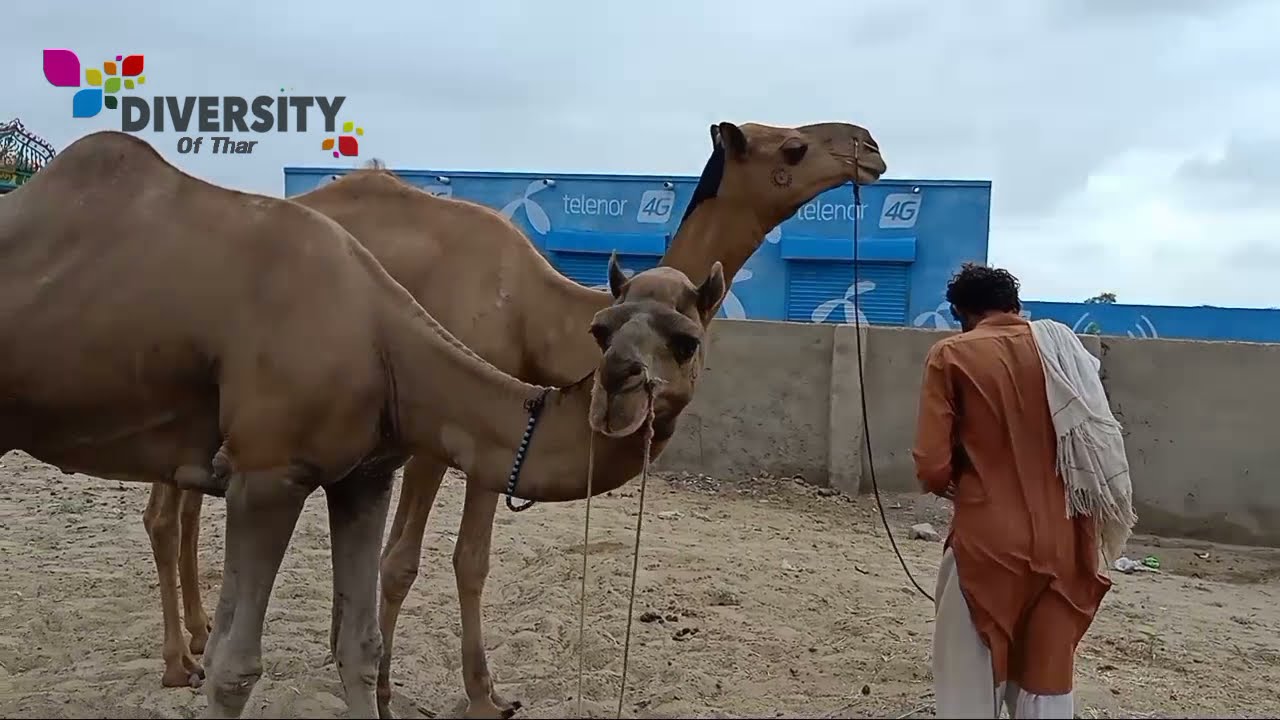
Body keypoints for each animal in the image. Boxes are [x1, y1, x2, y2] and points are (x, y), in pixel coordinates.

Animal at [0, 129, 726, 719]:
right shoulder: (266, 474)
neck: (383, 338)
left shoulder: (364, 473)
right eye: (600, 330)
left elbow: (360, 646)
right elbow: (236, 669)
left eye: (686, 340)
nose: (620, 384)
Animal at [146, 120, 887, 716]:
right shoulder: (433, 431)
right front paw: (385, 688)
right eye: (791, 145)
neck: (536, 312)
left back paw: (202, 635)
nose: (869, 146)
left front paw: (484, 694)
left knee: (186, 502)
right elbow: (402, 560)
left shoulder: (489, 428)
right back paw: (180, 661)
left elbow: (470, 559)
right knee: (164, 512)